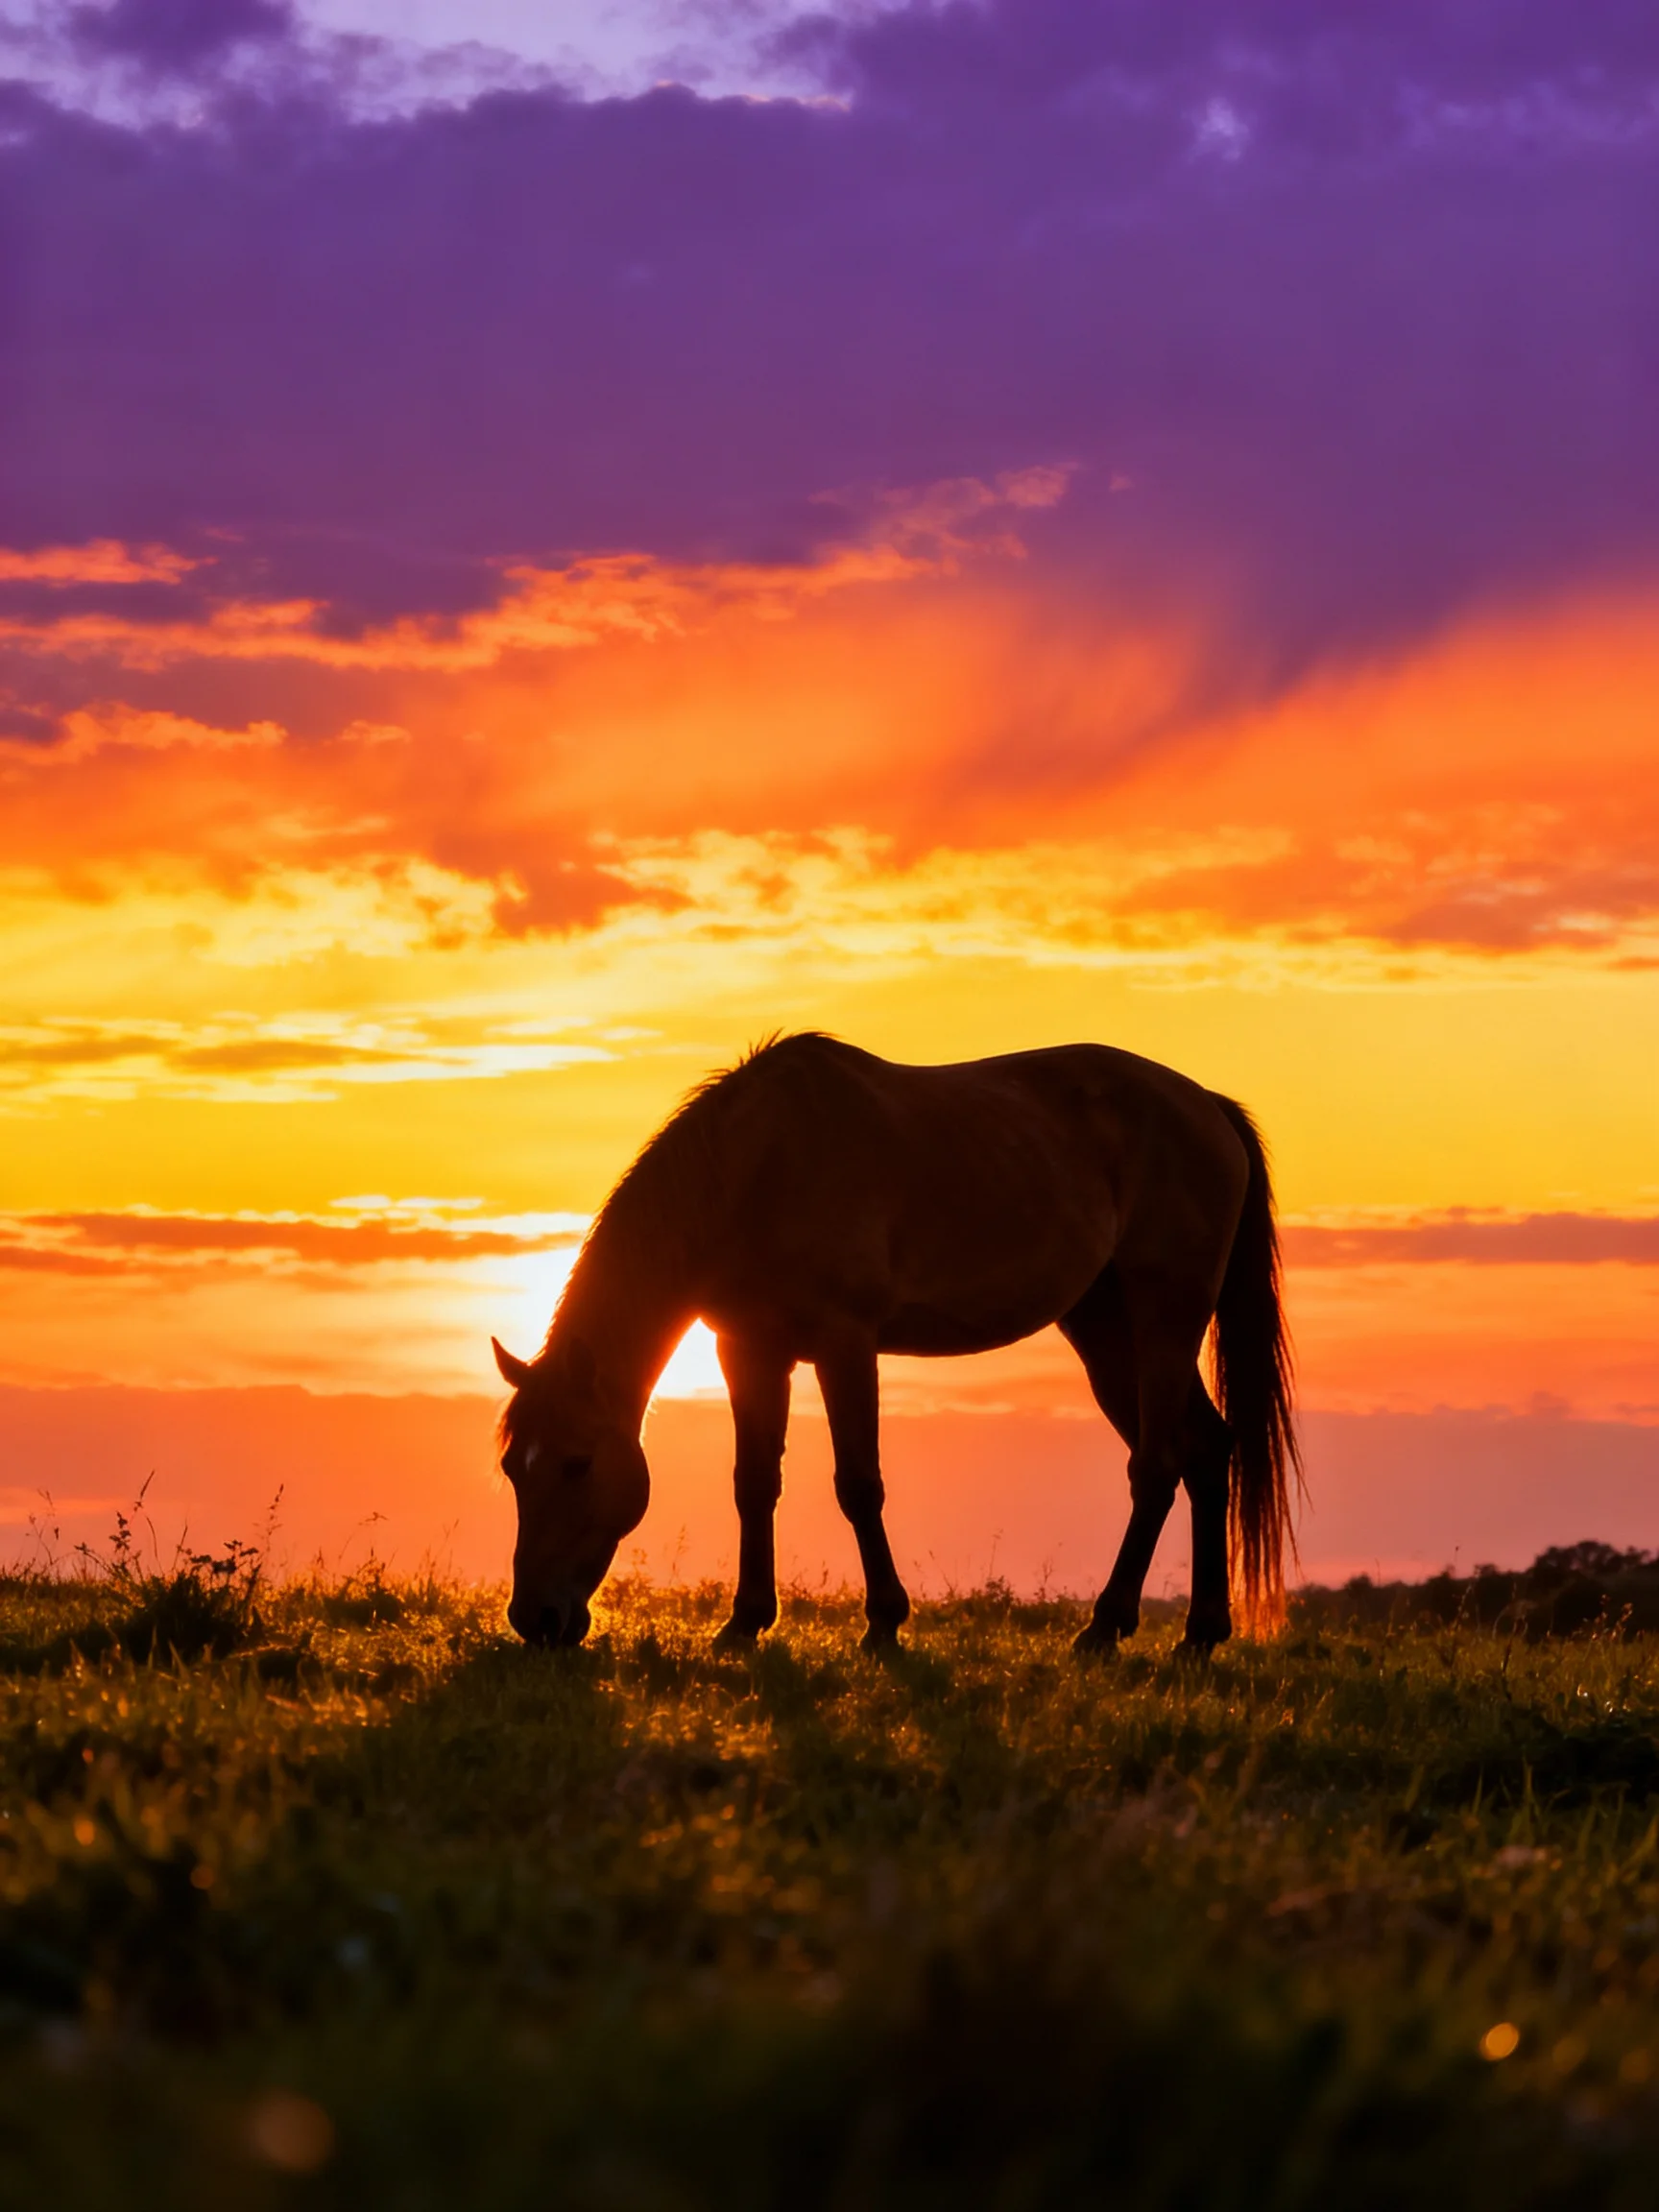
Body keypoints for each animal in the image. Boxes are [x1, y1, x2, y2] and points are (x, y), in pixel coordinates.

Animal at [492, 1032, 1299, 1656]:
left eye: (575, 1463)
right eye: (510, 1469)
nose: (536, 1620)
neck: (763, 1167)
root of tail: (1208, 1108)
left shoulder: (845, 1342)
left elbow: (858, 1483)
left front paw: (883, 1624)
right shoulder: (749, 1350)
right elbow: (754, 1484)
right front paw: (745, 1625)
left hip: (1165, 1318)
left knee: (1157, 1465)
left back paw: (1104, 1628)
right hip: (1105, 1331)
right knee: (1206, 1452)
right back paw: (1201, 1633)